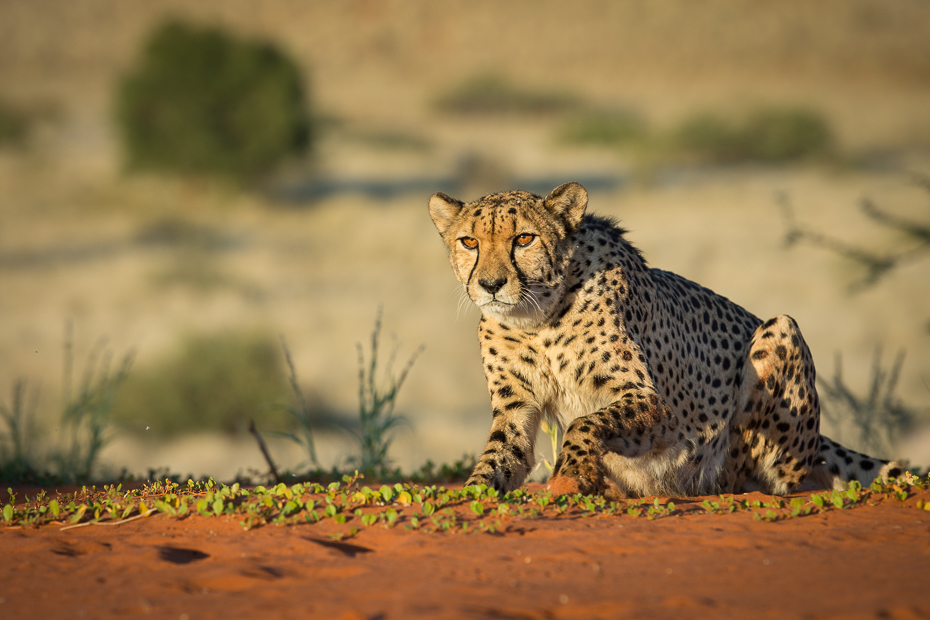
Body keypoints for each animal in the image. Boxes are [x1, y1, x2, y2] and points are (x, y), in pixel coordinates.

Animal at [426, 182, 900, 496]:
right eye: (469, 241)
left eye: (524, 238)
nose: (490, 285)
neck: (537, 319)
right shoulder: (517, 407)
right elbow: (499, 455)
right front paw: (473, 491)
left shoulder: (650, 400)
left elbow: (586, 421)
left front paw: (574, 472)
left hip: (779, 330)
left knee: (769, 474)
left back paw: (708, 481)